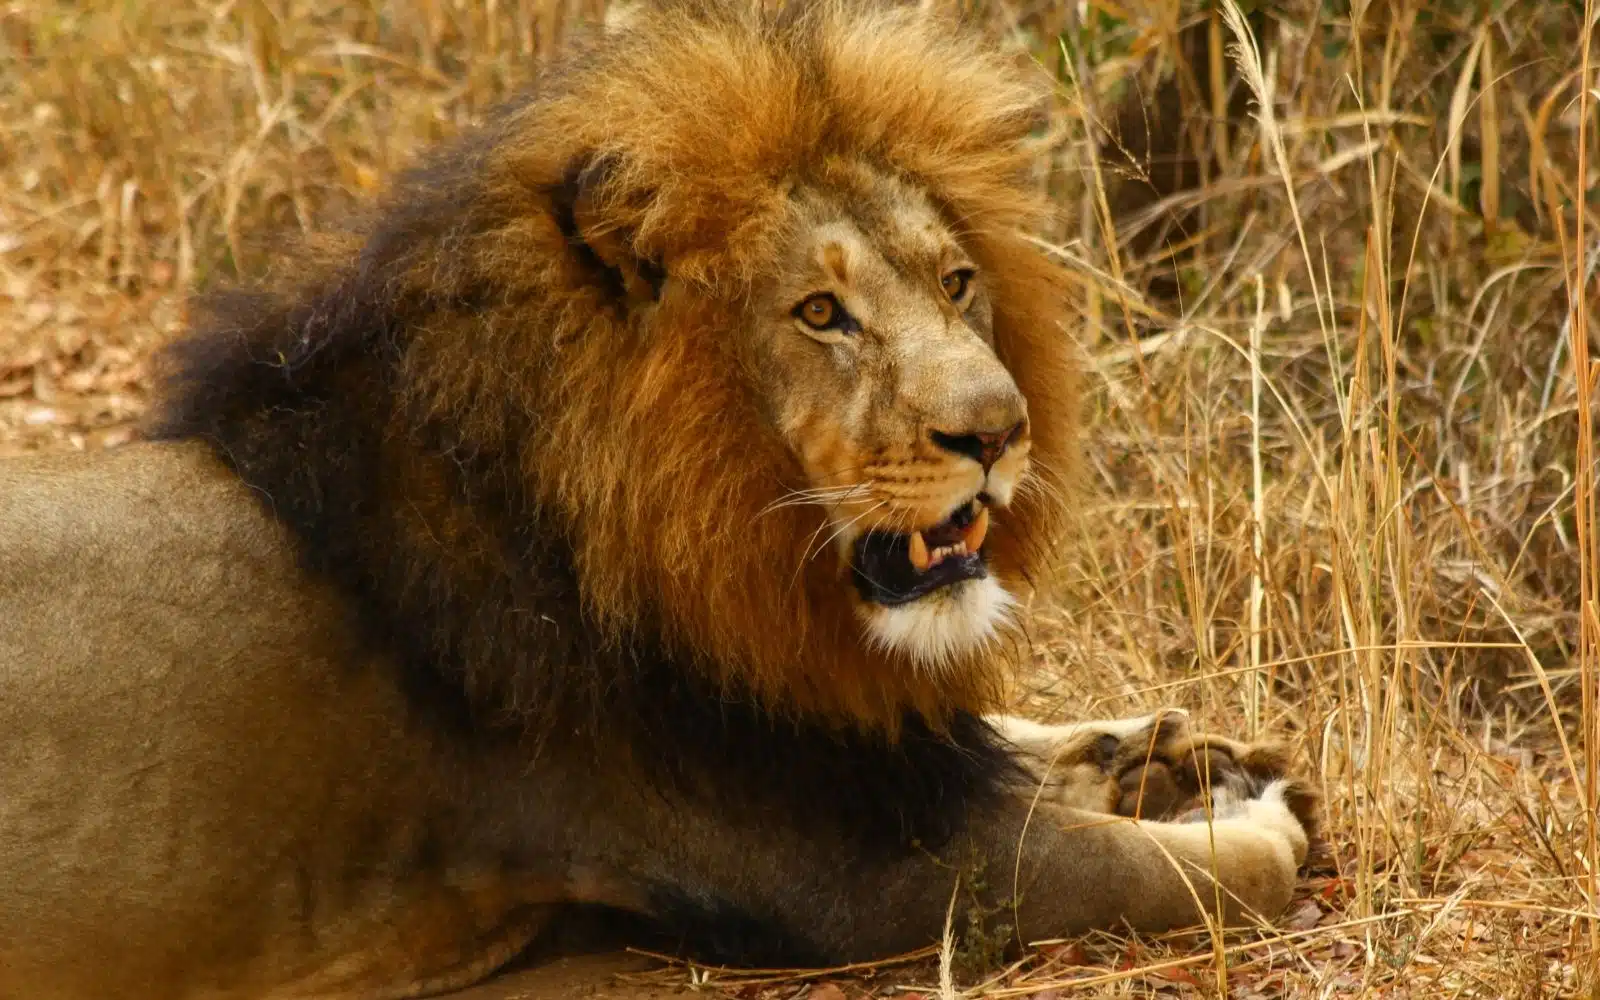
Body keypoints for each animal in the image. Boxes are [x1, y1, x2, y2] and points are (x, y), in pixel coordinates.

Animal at [0, 2, 1316, 997]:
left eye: (955, 282)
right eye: (820, 313)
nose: (999, 431)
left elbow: (986, 733)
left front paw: (1155, 745)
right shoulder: (849, 872)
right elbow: (1170, 873)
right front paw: (1251, 815)